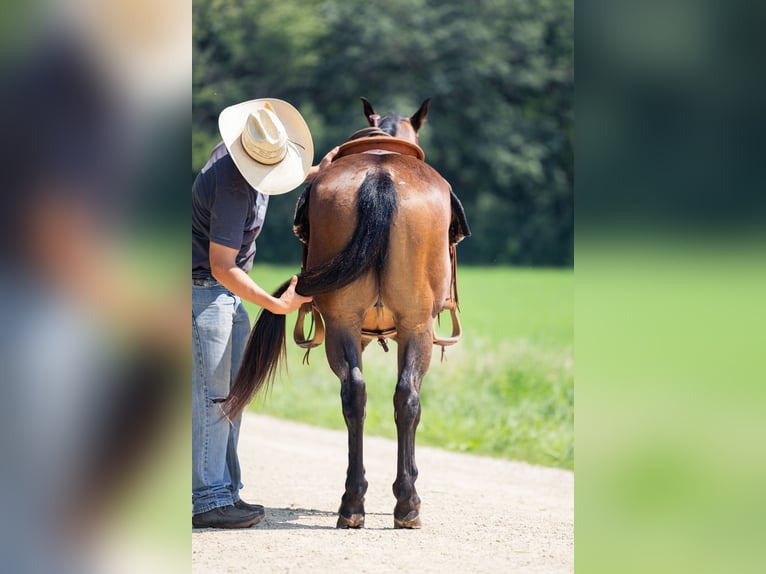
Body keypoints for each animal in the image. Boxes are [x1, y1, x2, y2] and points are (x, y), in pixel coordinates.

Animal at [224, 97, 470, 529]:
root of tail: (381, 178)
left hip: (348, 324)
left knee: (359, 394)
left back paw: (354, 502)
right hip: (413, 325)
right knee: (405, 397)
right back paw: (405, 503)